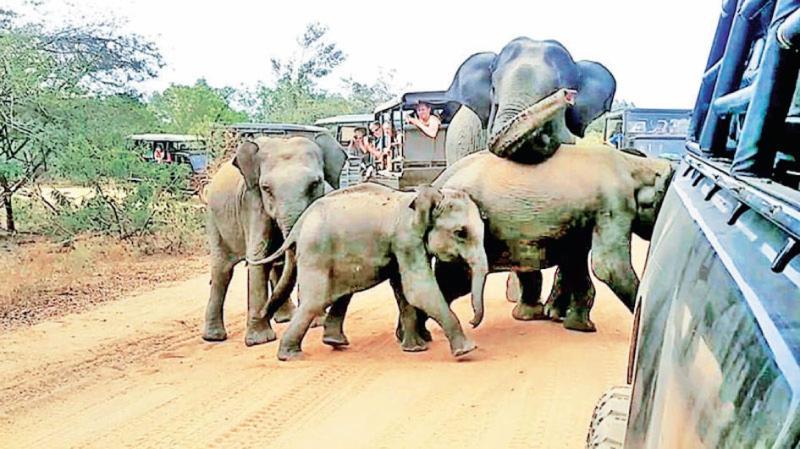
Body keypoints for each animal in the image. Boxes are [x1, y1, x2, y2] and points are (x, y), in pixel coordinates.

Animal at [202, 133, 346, 346]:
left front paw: (316, 323)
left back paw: (286, 318)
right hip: (214, 220)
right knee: (222, 271)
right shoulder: (253, 202)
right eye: (266, 189)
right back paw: (213, 337)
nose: (265, 313)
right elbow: (259, 255)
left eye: (315, 184)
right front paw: (260, 341)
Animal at [250, 182, 488, 360]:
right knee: (315, 301)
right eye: (460, 233)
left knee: (341, 294)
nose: (472, 321)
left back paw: (334, 342)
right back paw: (291, 356)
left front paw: (415, 349)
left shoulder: (401, 246)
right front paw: (466, 350)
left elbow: (403, 290)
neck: (424, 195)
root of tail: (300, 224)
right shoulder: (406, 239)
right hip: (316, 252)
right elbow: (418, 289)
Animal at [396, 144, 672, 344]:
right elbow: (607, 267)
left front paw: (577, 326)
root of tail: (441, 179)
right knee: (454, 282)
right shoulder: (613, 203)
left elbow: (575, 259)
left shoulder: (583, 217)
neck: (634, 163)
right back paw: (418, 338)